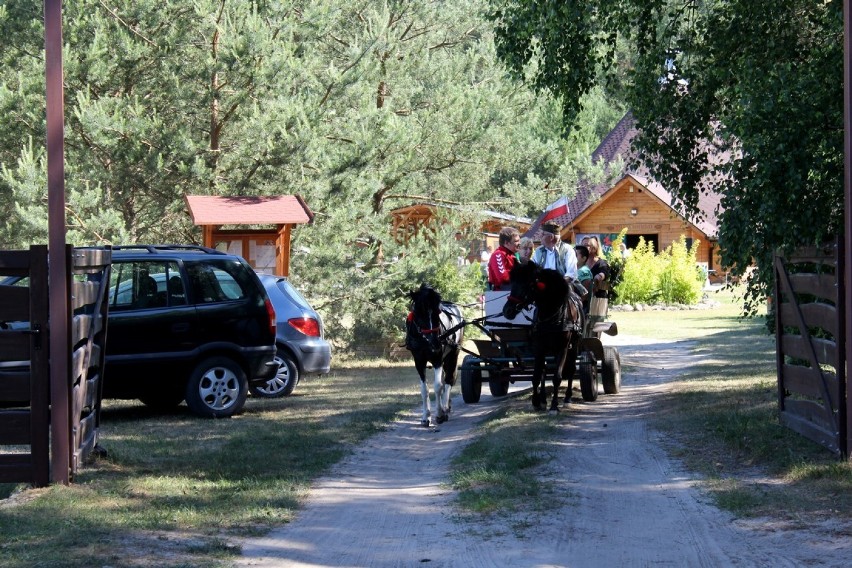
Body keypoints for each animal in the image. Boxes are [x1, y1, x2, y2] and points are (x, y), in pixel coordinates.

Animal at [406, 284, 466, 426]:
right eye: (419, 313)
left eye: (437, 313)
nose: (435, 342)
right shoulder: (419, 361)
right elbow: (424, 390)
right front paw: (425, 417)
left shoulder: (437, 359)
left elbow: (438, 386)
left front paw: (439, 414)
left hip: (453, 355)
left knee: (449, 379)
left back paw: (445, 407)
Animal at [500, 262, 584, 412]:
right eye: (513, 283)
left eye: (529, 284)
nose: (507, 311)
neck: (551, 313)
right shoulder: (539, 347)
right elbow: (536, 376)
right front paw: (536, 402)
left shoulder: (562, 348)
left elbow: (557, 377)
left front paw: (554, 405)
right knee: (545, 371)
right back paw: (544, 399)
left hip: (574, 345)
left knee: (571, 369)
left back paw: (567, 398)